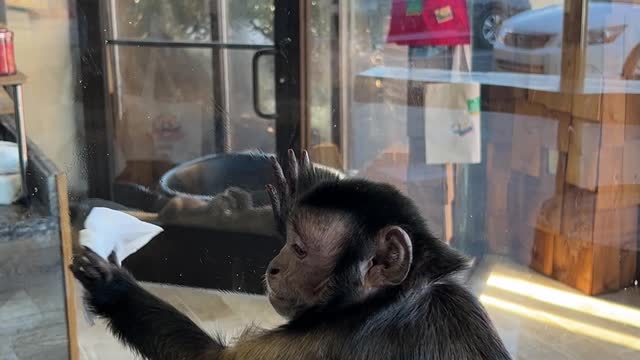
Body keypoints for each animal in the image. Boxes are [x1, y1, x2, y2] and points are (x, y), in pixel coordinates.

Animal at [71, 150, 510, 360]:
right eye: (290, 242)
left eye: (299, 250)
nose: (274, 267)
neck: (390, 298)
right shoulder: (457, 304)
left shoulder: (322, 340)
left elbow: (208, 359)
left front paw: (112, 287)